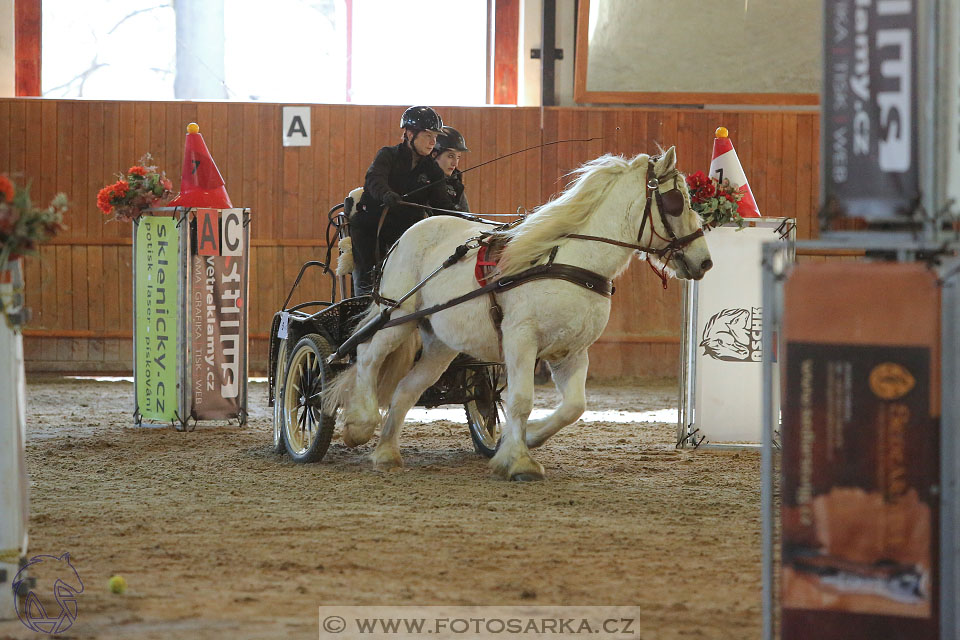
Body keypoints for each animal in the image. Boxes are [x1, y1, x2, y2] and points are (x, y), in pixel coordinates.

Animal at [324, 149, 712, 480]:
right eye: (676, 202)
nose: (705, 261)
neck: (571, 261)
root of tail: (407, 234)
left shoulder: (571, 352)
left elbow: (574, 406)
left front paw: (529, 439)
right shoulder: (520, 340)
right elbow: (522, 401)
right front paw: (519, 461)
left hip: (440, 345)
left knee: (406, 389)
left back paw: (386, 452)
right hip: (396, 316)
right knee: (367, 356)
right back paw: (360, 425)